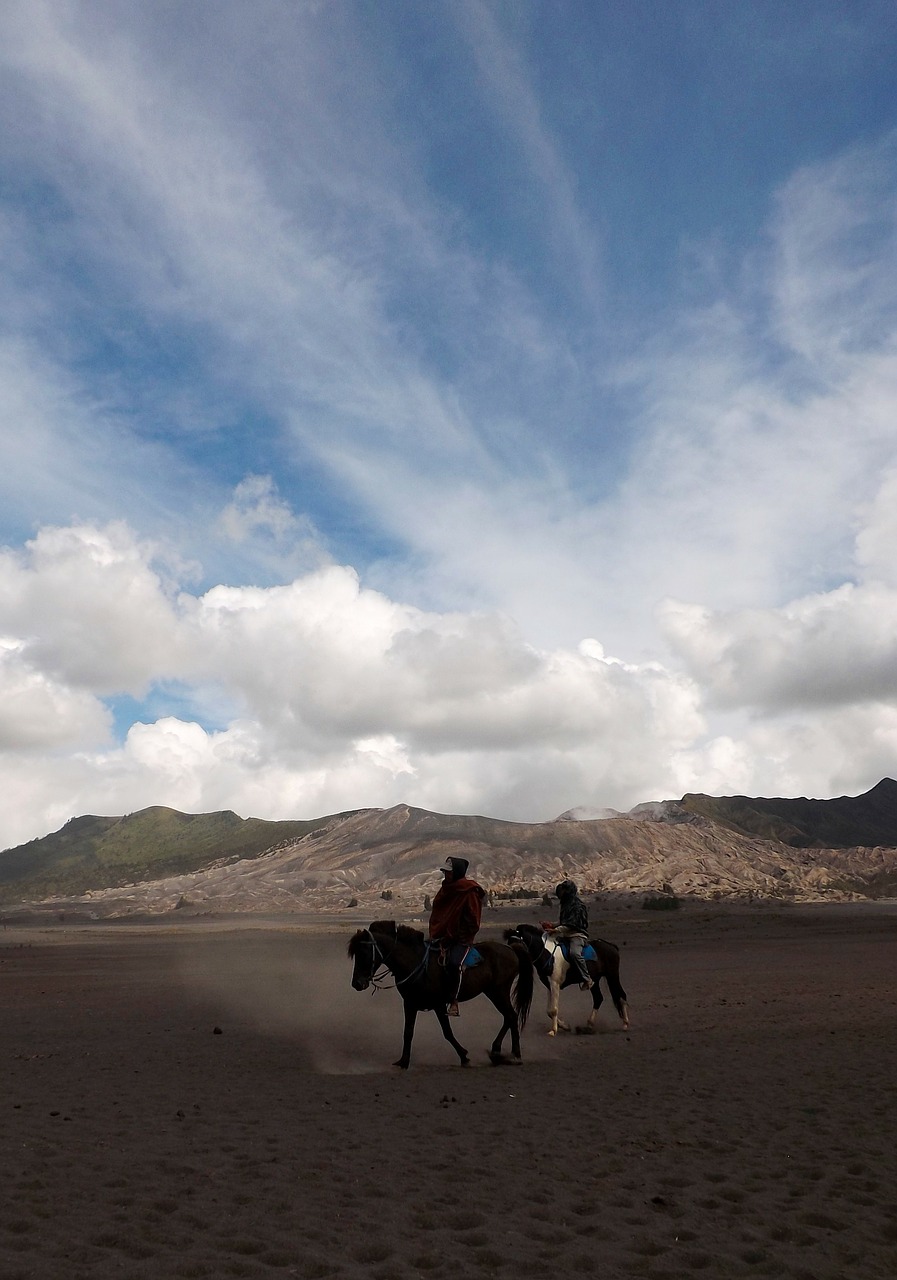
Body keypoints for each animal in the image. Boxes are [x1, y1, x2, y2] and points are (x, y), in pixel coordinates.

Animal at [348, 921, 532, 1070]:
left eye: (364, 952)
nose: (357, 983)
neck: (415, 962)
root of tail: (511, 950)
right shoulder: (410, 1003)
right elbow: (408, 1032)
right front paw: (403, 1061)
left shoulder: (438, 1004)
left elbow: (447, 1032)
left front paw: (464, 1056)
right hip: (493, 992)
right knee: (509, 1017)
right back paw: (497, 1051)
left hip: (499, 991)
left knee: (511, 1016)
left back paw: (514, 1055)